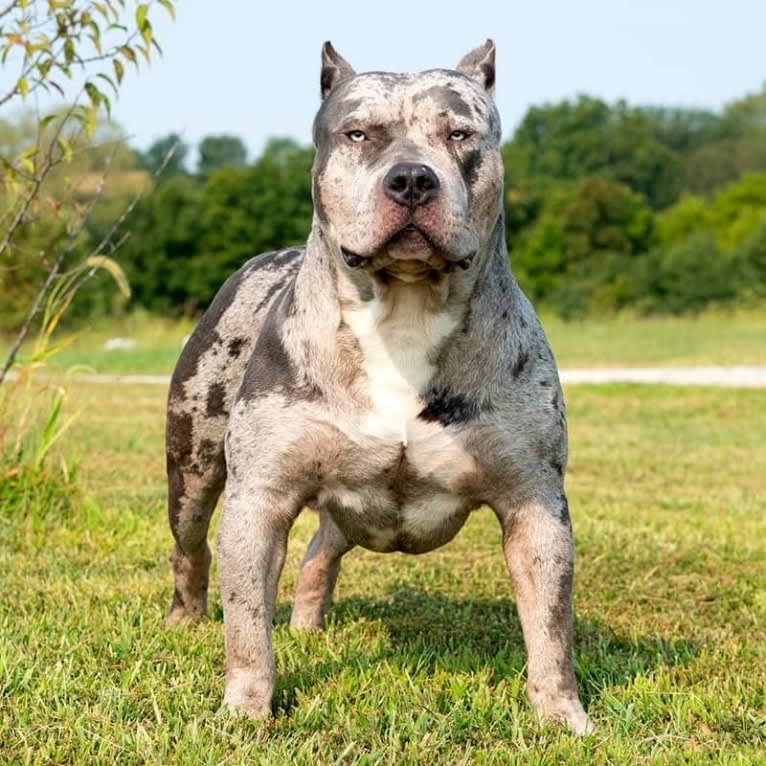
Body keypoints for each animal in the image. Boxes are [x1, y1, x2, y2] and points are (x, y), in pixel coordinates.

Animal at [164, 39, 592, 736]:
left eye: (460, 134)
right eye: (358, 133)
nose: (412, 178)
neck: (405, 311)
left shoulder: (535, 506)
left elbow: (550, 629)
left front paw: (561, 716)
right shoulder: (259, 499)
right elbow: (247, 625)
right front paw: (248, 708)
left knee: (321, 548)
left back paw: (308, 625)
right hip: (194, 465)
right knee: (191, 548)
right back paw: (185, 619)